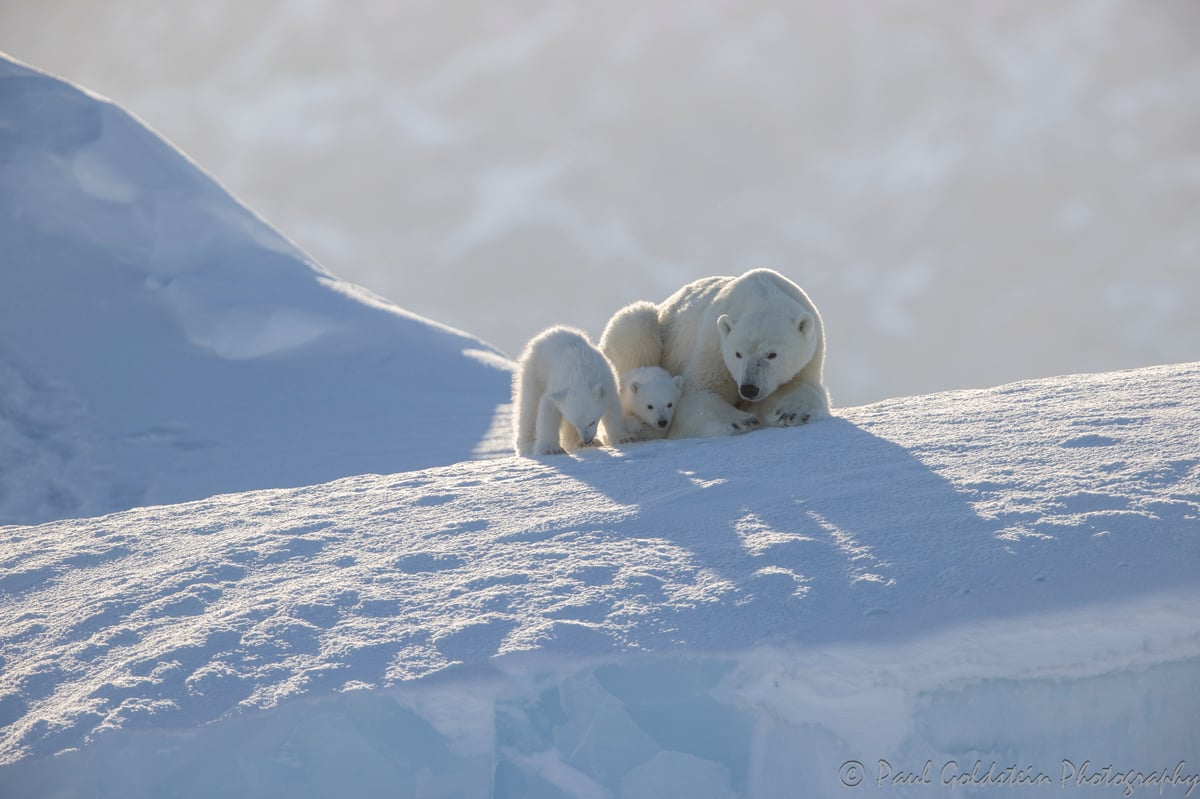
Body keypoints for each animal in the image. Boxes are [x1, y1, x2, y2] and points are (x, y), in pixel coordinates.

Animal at [597, 271, 830, 439]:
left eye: (772, 354)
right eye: (738, 354)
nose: (749, 389)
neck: (760, 292)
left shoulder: (810, 356)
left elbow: (803, 386)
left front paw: (791, 412)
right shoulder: (714, 345)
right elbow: (697, 396)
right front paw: (740, 421)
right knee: (636, 325)